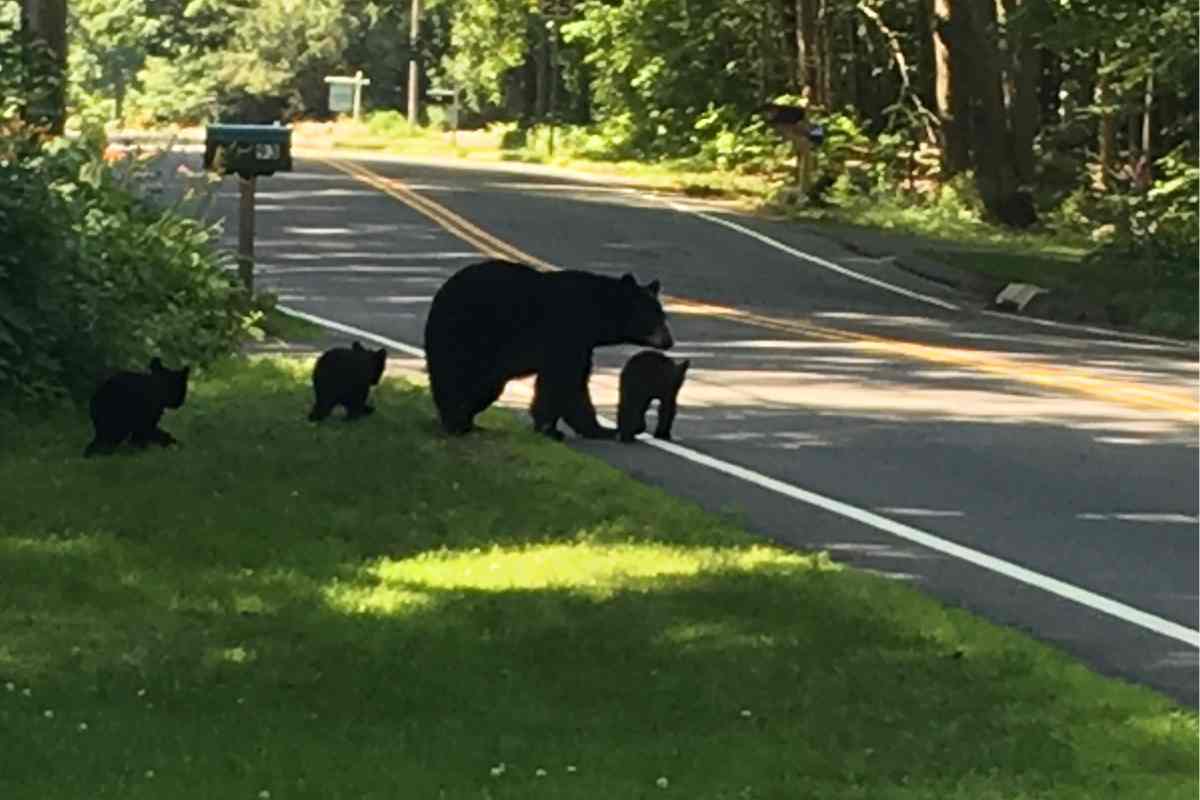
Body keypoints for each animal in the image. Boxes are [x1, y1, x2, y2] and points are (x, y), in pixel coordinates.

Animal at [427, 260, 676, 438]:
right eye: (652, 316)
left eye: (663, 315)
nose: (669, 341)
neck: (595, 315)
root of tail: (438, 300)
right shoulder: (565, 335)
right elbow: (563, 381)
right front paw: (555, 429)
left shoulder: (581, 344)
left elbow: (570, 383)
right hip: (469, 337)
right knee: (467, 380)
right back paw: (458, 422)